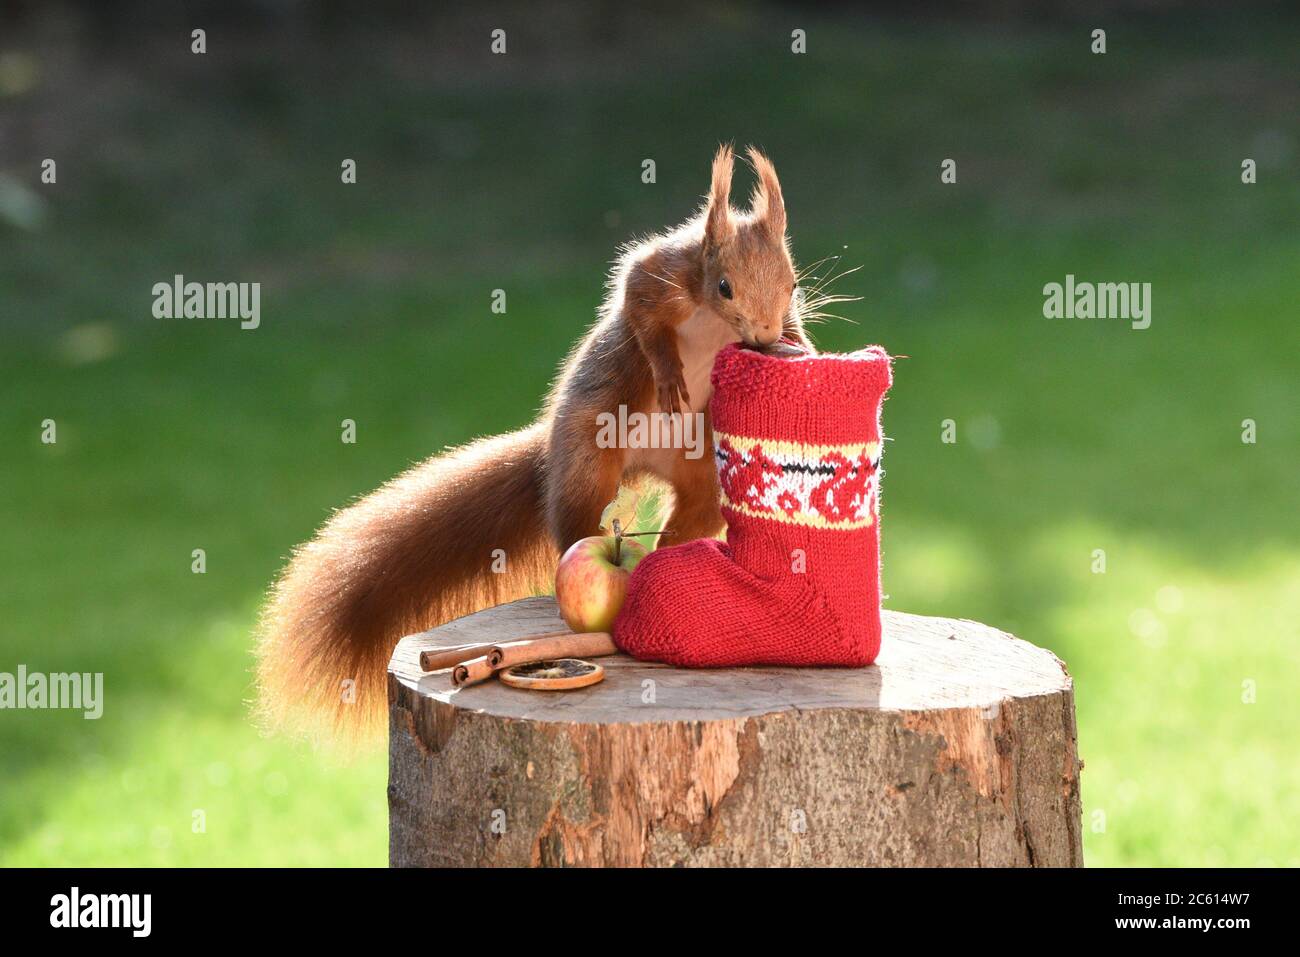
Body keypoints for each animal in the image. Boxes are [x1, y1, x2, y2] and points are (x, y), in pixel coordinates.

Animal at [253, 143, 811, 738]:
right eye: (725, 286)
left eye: (793, 284)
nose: (763, 337)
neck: (711, 314)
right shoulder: (663, 272)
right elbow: (641, 309)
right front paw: (668, 374)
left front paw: (797, 349)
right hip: (589, 452)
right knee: (576, 519)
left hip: (705, 473)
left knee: (689, 521)